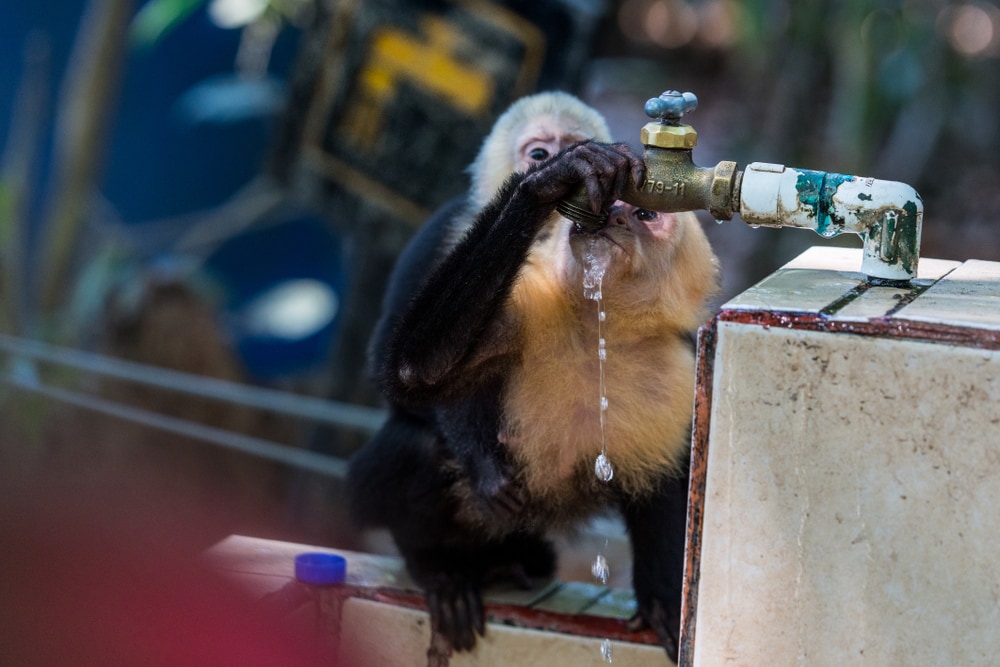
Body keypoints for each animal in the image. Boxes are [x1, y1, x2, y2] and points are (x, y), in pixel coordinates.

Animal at [347, 92, 719, 662]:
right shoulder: (523, 305)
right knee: (422, 450)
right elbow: (415, 371)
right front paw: (553, 180)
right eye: (619, 200)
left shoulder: (676, 375)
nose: (612, 212)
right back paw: (439, 568)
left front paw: (662, 601)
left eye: (646, 212)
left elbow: (666, 485)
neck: (596, 329)